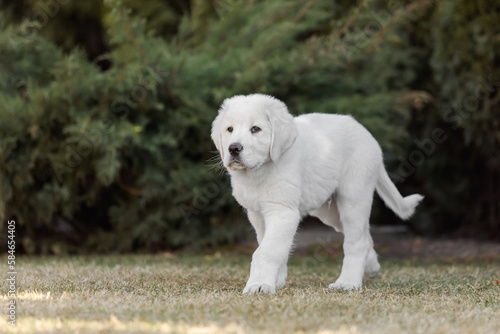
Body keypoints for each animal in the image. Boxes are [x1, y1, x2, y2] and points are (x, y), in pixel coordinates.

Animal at [210, 93, 422, 292]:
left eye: (255, 129)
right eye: (229, 129)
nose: (233, 148)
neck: (259, 172)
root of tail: (367, 135)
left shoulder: (282, 212)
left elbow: (266, 251)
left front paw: (260, 285)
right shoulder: (258, 215)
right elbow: (272, 245)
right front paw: (276, 280)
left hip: (353, 197)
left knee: (357, 241)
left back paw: (348, 282)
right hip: (330, 212)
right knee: (364, 235)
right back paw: (372, 266)